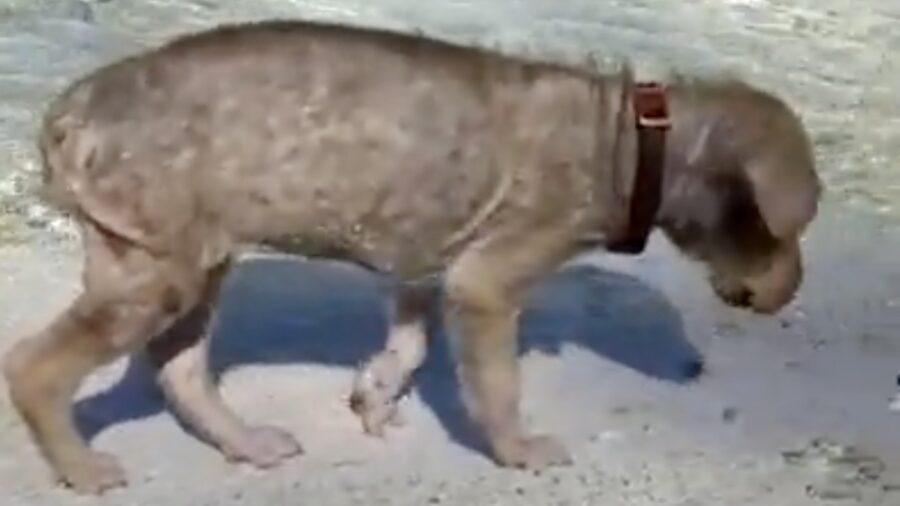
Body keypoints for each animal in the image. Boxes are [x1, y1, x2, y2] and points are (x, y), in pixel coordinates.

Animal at [0, 19, 820, 494]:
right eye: (783, 231)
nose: (790, 294)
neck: (636, 141)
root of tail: (69, 111)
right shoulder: (486, 282)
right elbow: (498, 386)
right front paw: (518, 450)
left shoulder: (426, 263)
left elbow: (410, 342)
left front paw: (375, 393)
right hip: (156, 271)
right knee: (37, 365)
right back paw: (80, 469)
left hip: (185, 260)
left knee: (179, 369)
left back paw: (247, 444)